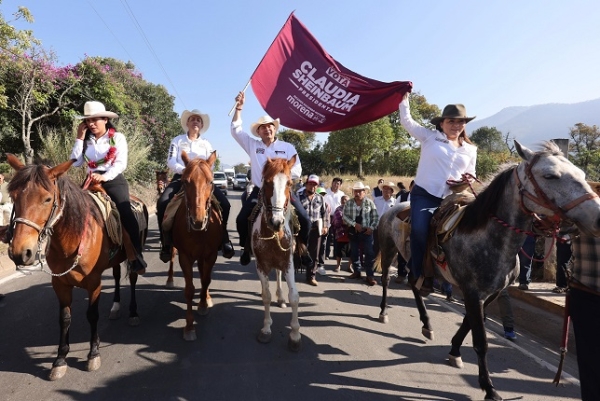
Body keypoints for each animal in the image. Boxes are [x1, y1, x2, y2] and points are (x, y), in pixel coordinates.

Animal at [6, 155, 149, 380]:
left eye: (47, 199)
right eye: (13, 197)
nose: (21, 252)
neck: (73, 237)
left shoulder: (94, 283)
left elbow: (92, 315)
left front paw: (93, 354)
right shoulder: (60, 284)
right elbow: (65, 318)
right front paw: (60, 360)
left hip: (134, 255)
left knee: (133, 278)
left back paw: (133, 313)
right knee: (117, 276)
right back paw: (116, 307)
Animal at [171, 150, 223, 340]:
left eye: (210, 181)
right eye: (185, 181)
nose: (197, 220)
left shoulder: (211, 255)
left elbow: (206, 279)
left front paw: (202, 305)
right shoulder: (185, 256)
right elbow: (189, 290)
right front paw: (189, 326)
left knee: (204, 276)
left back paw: (206, 298)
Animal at [252, 156, 302, 350]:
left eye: (289, 183)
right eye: (267, 182)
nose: (277, 222)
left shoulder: (288, 263)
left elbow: (294, 297)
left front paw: (295, 335)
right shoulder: (261, 264)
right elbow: (266, 296)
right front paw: (266, 329)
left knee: (279, 275)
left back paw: (281, 299)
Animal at [378, 140, 600, 396]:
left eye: (582, 174)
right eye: (550, 175)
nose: (598, 217)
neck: (489, 237)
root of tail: (395, 206)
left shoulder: (490, 293)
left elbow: (469, 324)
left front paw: (454, 351)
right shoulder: (473, 293)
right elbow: (481, 341)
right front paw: (488, 387)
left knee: (415, 286)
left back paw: (427, 324)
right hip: (388, 249)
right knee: (386, 281)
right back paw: (383, 313)